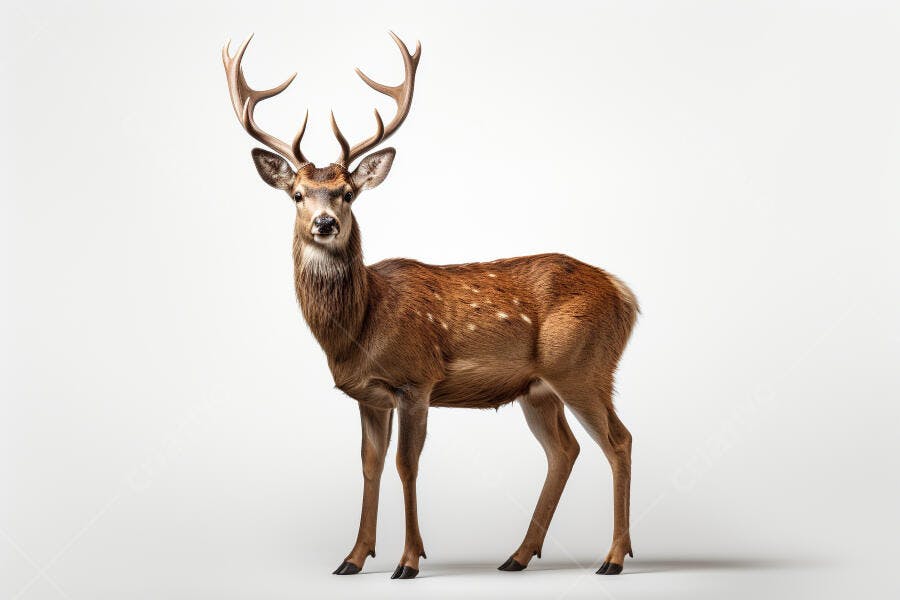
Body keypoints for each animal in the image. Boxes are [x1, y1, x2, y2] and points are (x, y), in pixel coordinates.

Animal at [222, 32, 639, 579]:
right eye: (296, 194)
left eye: (348, 193)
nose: (325, 223)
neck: (360, 327)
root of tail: (625, 293)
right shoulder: (368, 395)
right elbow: (369, 465)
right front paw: (352, 558)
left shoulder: (415, 379)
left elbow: (407, 464)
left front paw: (408, 560)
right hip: (538, 389)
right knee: (564, 450)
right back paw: (517, 555)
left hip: (584, 366)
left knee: (618, 441)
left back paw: (612, 558)